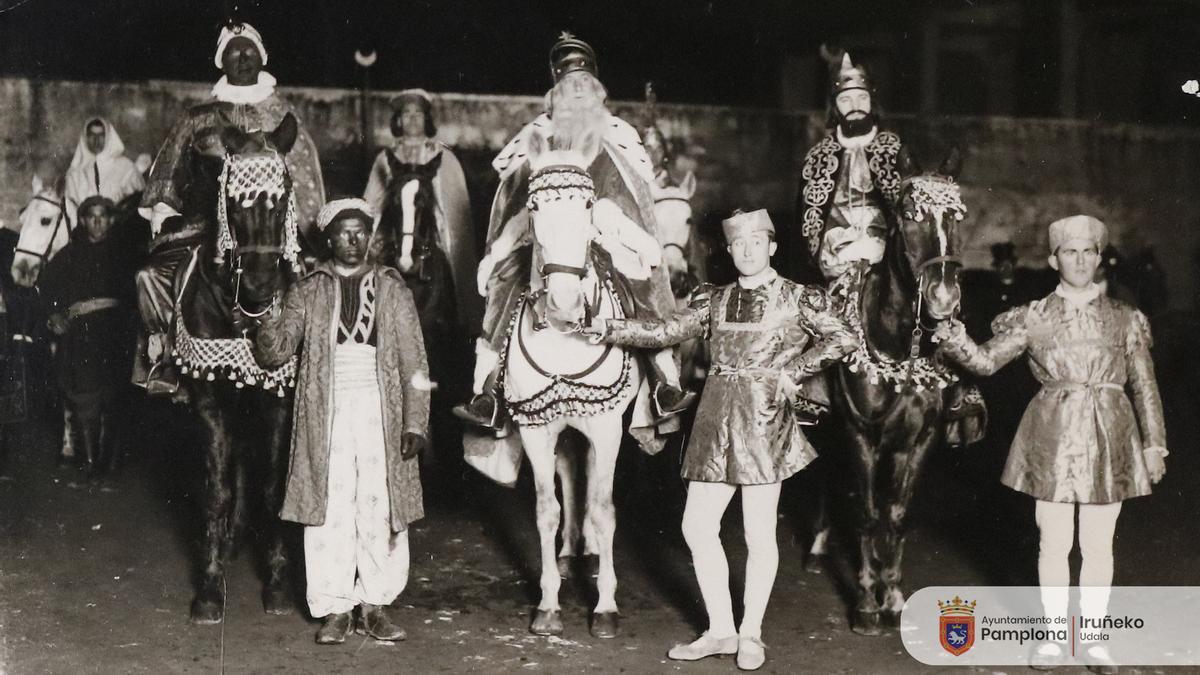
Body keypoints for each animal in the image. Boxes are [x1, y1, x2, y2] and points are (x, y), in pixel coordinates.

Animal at [174, 114, 304, 619]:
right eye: (231, 200)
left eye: (284, 196)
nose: (261, 286)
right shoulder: (210, 401)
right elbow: (217, 490)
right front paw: (210, 588)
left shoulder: (278, 399)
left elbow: (273, 488)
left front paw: (279, 582)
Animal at [499, 128, 643, 638]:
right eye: (534, 206)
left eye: (587, 204)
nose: (564, 303)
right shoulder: (537, 429)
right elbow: (547, 509)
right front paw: (548, 605)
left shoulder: (606, 426)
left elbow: (603, 508)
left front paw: (605, 607)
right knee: (569, 476)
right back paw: (568, 553)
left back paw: (594, 556)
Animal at [820, 149, 969, 634]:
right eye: (908, 214)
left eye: (959, 216)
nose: (943, 298)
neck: (902, 347)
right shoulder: (861, 435)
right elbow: (868, 515)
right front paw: (867, 603)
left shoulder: (921, 440)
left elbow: (898, 516)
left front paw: (894, 596)